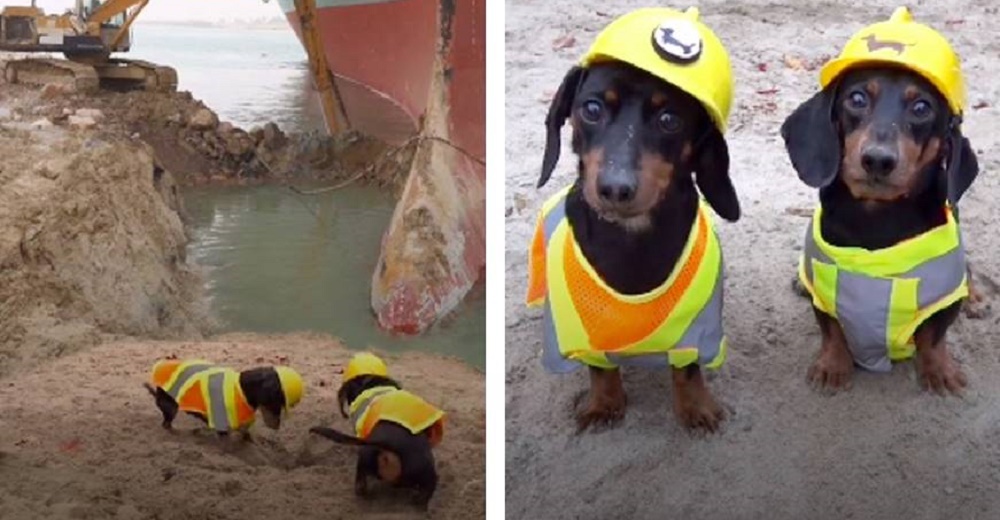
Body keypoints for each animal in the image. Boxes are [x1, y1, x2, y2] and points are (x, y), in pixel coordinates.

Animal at [143, 356, 302, 436]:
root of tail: (157, 390)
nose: (277, 427)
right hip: (171, 408)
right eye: (276, 401)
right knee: (167, 424)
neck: (242, 388)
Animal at [528, 6, 740, 432]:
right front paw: (604, 403)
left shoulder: (698, 328)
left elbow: (688, 367)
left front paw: (696, 406)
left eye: (670, 119)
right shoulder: (580, 332)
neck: (631, 242)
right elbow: (599, 366)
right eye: (592, 108)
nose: (615, 188)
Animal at [780, 7, 976, 394]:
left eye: (921, 107)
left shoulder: (945, 297)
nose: (878, 160)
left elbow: (934, 335)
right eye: (856, 99)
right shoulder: (825, 288)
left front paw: (939, 371)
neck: (875, 218)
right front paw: (832, 366)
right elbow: (831, 329)